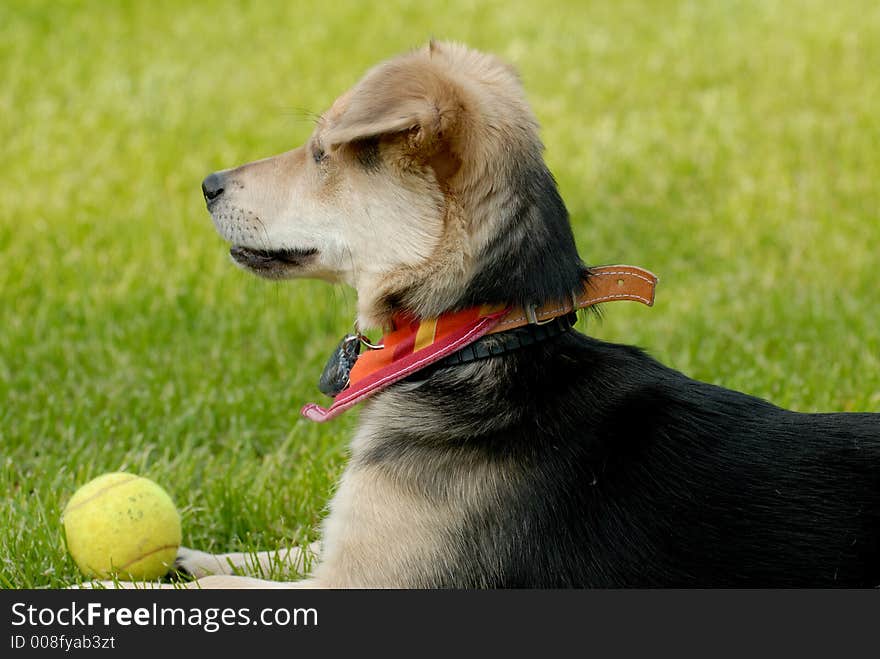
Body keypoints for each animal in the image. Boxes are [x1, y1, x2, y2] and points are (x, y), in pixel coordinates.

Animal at [162, 40, 876, 588]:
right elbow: (285, 548)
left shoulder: (367, 582)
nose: (207, 184)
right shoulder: (356, 547)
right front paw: (192, 555)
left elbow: (236, 589)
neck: (478, 341)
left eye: (320, 154)